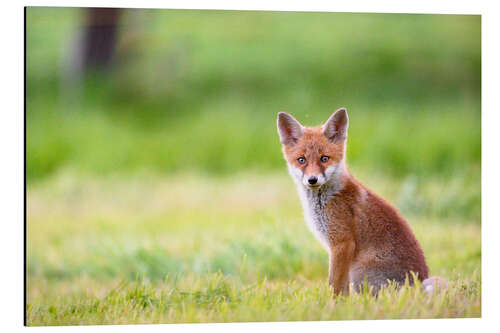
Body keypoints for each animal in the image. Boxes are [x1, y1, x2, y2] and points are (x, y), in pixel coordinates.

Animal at [278, 107, 446, 294]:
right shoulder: (338, 249)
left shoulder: (342, 244)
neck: (326, 200)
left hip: (358, 272)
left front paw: (332, 302)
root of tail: (416, 284)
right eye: (302, 160)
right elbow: (342, 289)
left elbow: (335, 286)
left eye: (324, 158)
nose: (312, 180)